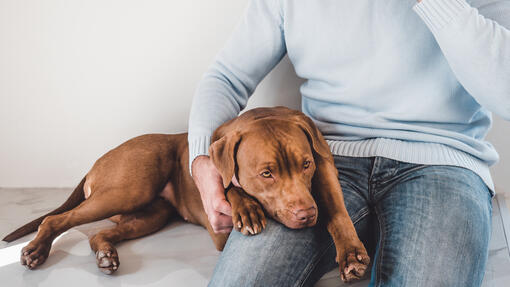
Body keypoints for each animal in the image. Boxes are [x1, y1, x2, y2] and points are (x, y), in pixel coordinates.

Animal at [1, 107, 368, 282]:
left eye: (305, 165)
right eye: (266, 174)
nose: (307, 215)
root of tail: (98, 161)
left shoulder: (324, 169)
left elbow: (337, 211)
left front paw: (350, 253)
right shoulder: (220, 227)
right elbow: (228, 185)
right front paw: (246, 208)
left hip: (150, 215)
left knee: (99, 233)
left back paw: (106, 254)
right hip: (128, 188)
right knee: (55, 219)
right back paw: (35, 251)